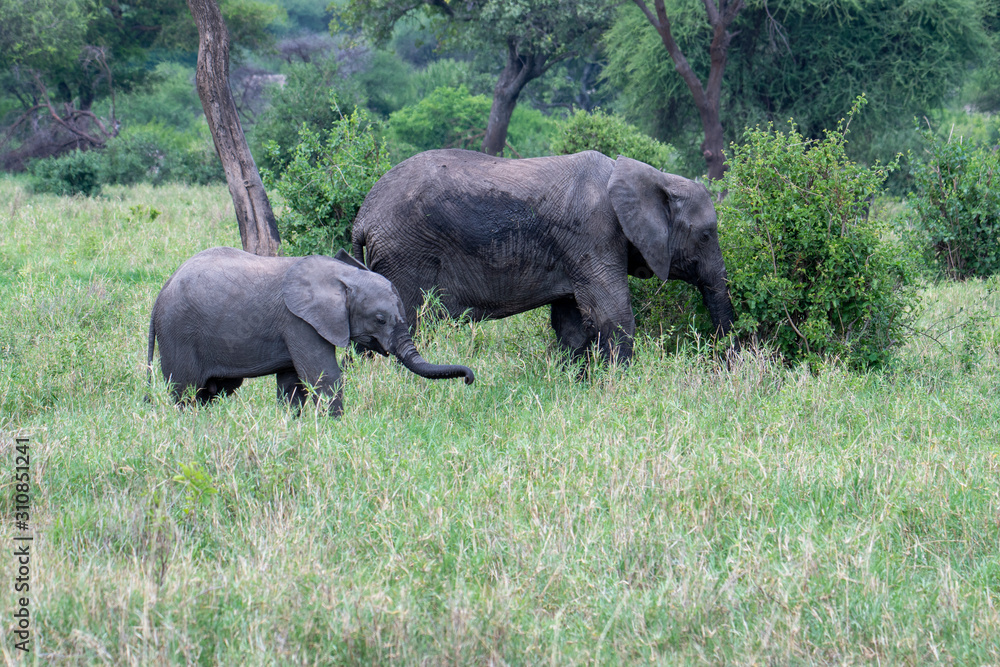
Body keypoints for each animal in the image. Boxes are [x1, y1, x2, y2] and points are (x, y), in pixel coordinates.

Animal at [147, 246, 475, 416]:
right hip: (179, 333)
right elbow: (323, 375)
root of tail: (162, 291)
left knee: (212, 391)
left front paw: (293, 422)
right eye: (380, 319)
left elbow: (292, 383)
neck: (341, 276)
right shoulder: (300, 322)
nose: (469, 379)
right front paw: (336, 426)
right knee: (187, 391)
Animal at [351, 149, 736, 365]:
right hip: (405, 254)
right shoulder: (593, 233)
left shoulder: (575, 249)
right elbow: (611, 315)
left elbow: (573, 323)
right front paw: (623, 385)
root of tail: (362, 218)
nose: (727, 362)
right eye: (706, 235)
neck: (654, 176)